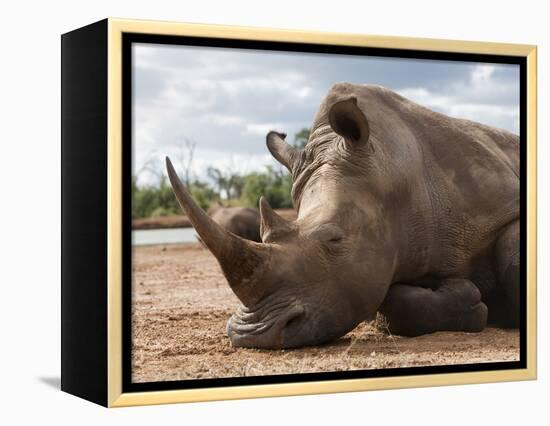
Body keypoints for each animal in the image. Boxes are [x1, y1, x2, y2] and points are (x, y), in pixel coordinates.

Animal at [166, 83, 520, 350]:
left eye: (334, 238)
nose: (255, 336)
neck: (393, 172)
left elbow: (512, 257)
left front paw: (502, 311)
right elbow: (391, 303)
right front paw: (473, 301)